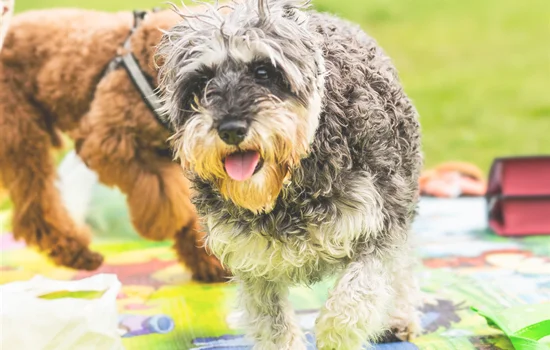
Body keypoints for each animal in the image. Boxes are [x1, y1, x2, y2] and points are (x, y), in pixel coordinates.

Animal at [0, 8, 229, 282]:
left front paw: (207, 261)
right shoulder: (107, 141)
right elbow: (166, 196)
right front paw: (165, 224)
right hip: (20, 131)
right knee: (35, 208)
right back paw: (77, 252)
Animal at [157, 0, 424, 348]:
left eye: (264, 71)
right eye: (202, 81)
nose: (231, 129)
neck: (288, 191)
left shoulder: (379, 229)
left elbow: (351, 303)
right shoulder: (254, 265)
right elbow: (274, 326)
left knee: (402, 269)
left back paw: (400, 318)